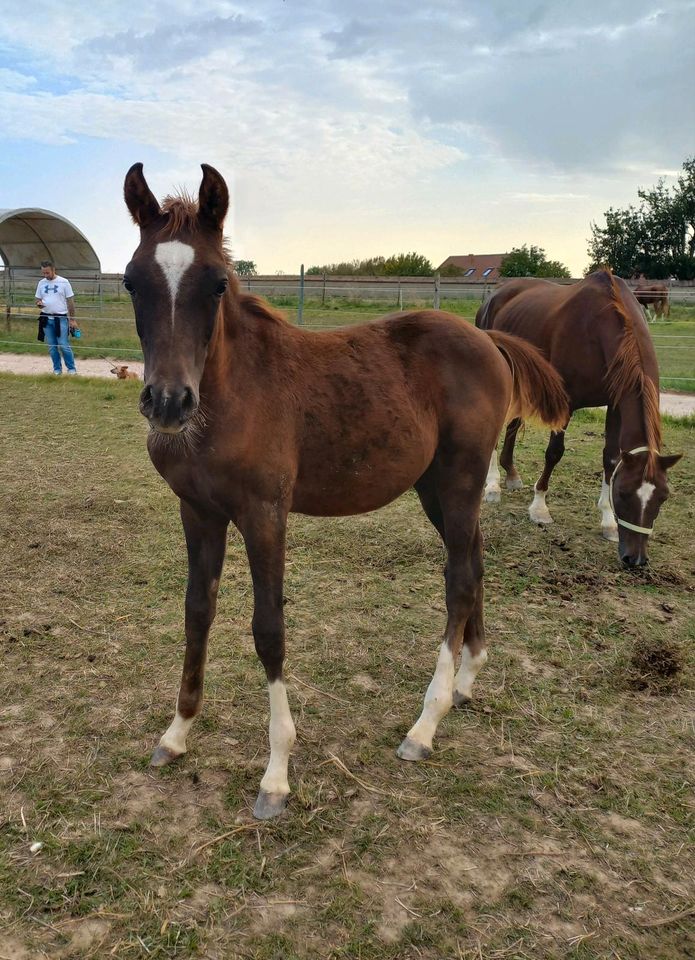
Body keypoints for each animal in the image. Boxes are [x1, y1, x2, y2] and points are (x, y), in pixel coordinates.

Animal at [123, 163, 572, 816]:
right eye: (132, 282)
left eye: (217, 284)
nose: (168, 402)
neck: (231, 395)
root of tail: (488, 340)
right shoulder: (197, 511)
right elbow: (197, 611)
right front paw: (177, 733)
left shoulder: (265, 512)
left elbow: (268, 628)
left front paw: (277, 773)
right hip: (435, 489)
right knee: (475, 561)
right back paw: (466, 681)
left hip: (461, 479)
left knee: (460, 580)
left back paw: (424, 725)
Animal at [476, 270, 684, 568]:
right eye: (624, 493)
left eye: (663, 497)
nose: (635, 559)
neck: (598, 330)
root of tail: (495, 294)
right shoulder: (567, 401)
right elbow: (554, 453)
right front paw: (539, 507)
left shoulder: (615, 404)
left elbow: (610, 459)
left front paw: (607, 521)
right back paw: (492, 486)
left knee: (513, 424)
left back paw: (512, 474)